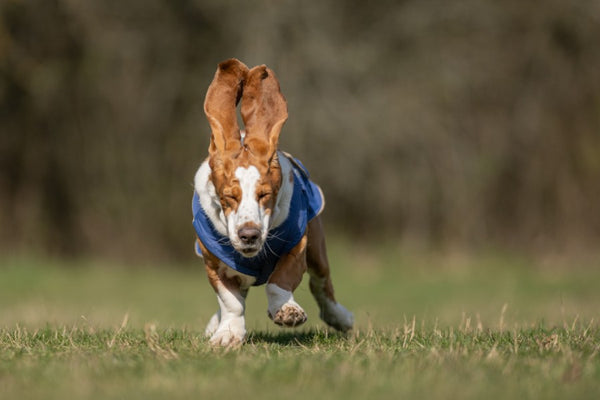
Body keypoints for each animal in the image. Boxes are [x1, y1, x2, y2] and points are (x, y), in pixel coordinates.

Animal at [191, 59, 352, 346]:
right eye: (229, 196)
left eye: (265, 194)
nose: (249, 234)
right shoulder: (213, 262)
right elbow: (230, 302)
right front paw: (227, 334)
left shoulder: (297, 247)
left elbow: (279, 281)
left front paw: (288, 312)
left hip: (317, 248)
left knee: (322, 285)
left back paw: (340, 317)